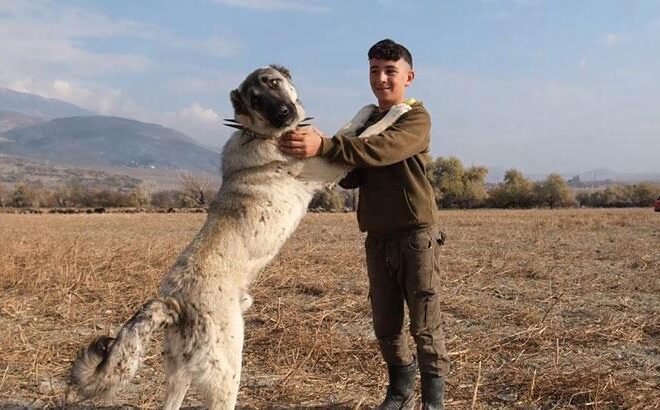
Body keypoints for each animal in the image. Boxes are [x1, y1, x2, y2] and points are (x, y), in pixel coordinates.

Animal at [69, 64, 410, 410]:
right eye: (255, 100)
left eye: (274, 83)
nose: (283, 113)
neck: (260, 132)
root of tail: (173, 301)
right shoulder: (330, 164)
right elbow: (366, 134)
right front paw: (397, 109)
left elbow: (348, 128)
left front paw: (369, 107)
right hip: (227, 371)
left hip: (180, 372)